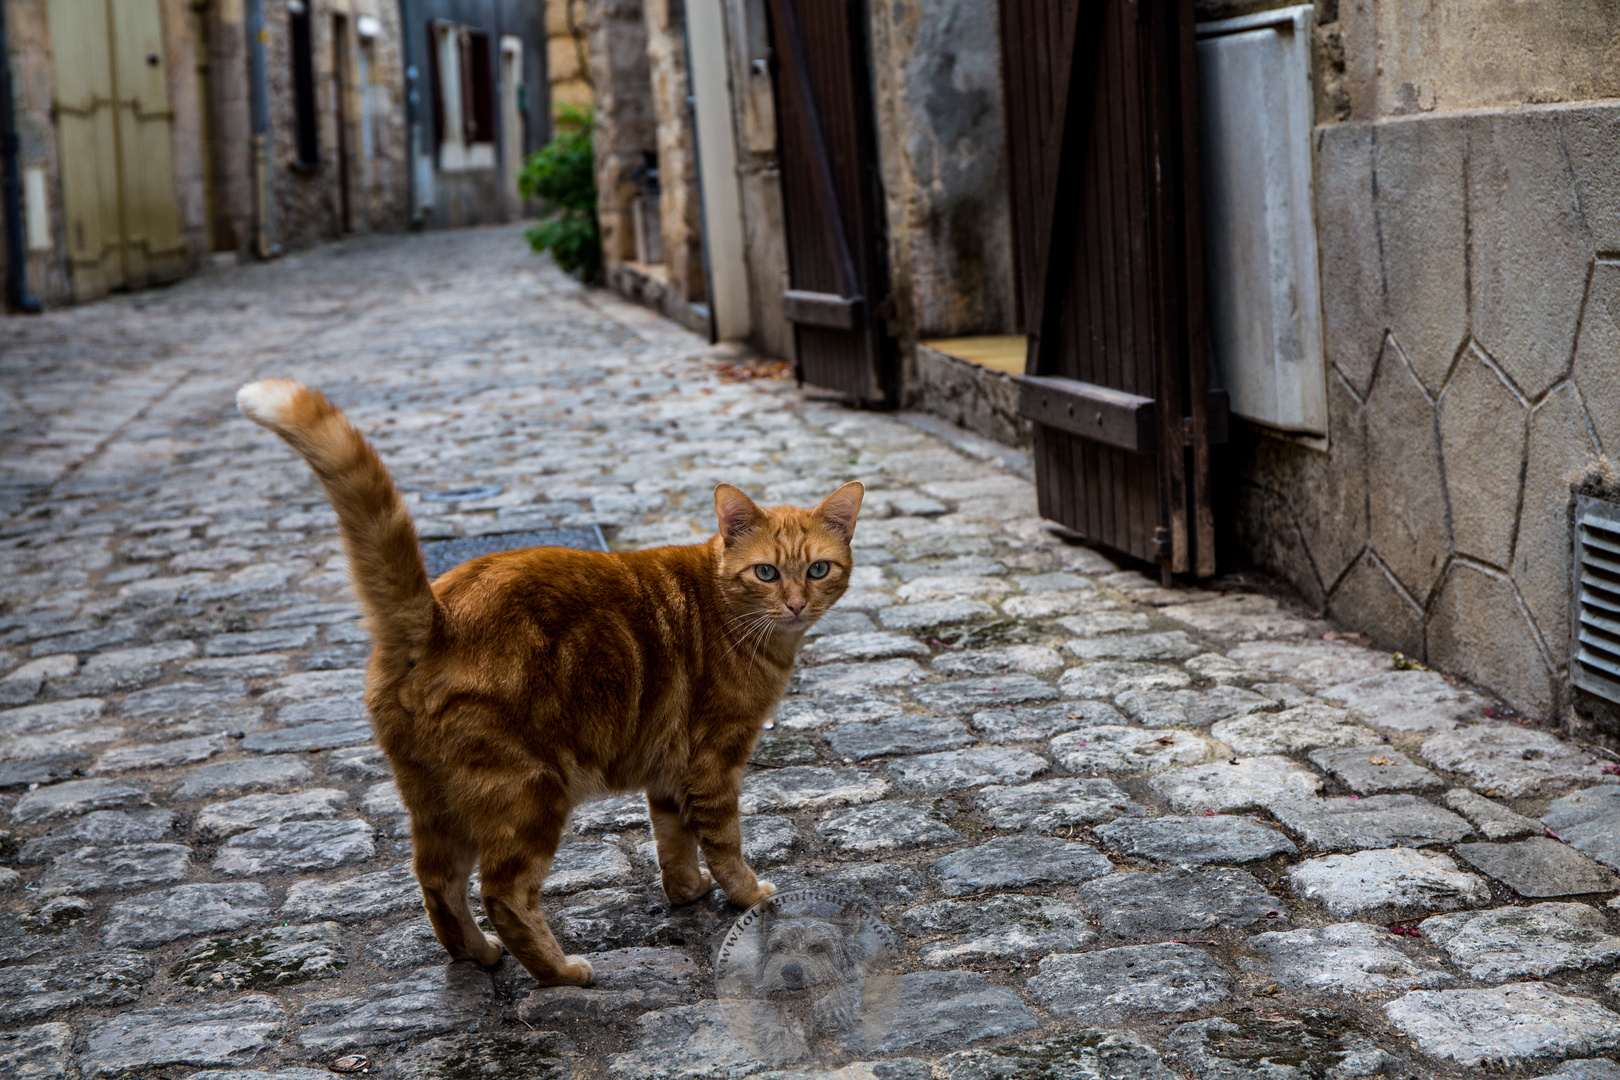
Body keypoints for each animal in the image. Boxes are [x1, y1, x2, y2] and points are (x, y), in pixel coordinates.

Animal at [236, 380, 861, 990]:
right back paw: (560, 972)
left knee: (437, 882)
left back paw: (477, 955)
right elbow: (724, 842)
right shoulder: (713, 760)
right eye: (766, 573)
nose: (796, 603)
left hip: (435, 799)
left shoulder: (669, 767)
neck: (737, 616)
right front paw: (746, 894)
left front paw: (687, 892)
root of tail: (437, 614)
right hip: (529, 791)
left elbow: (674, 839)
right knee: (502, 893)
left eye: (818, 570)